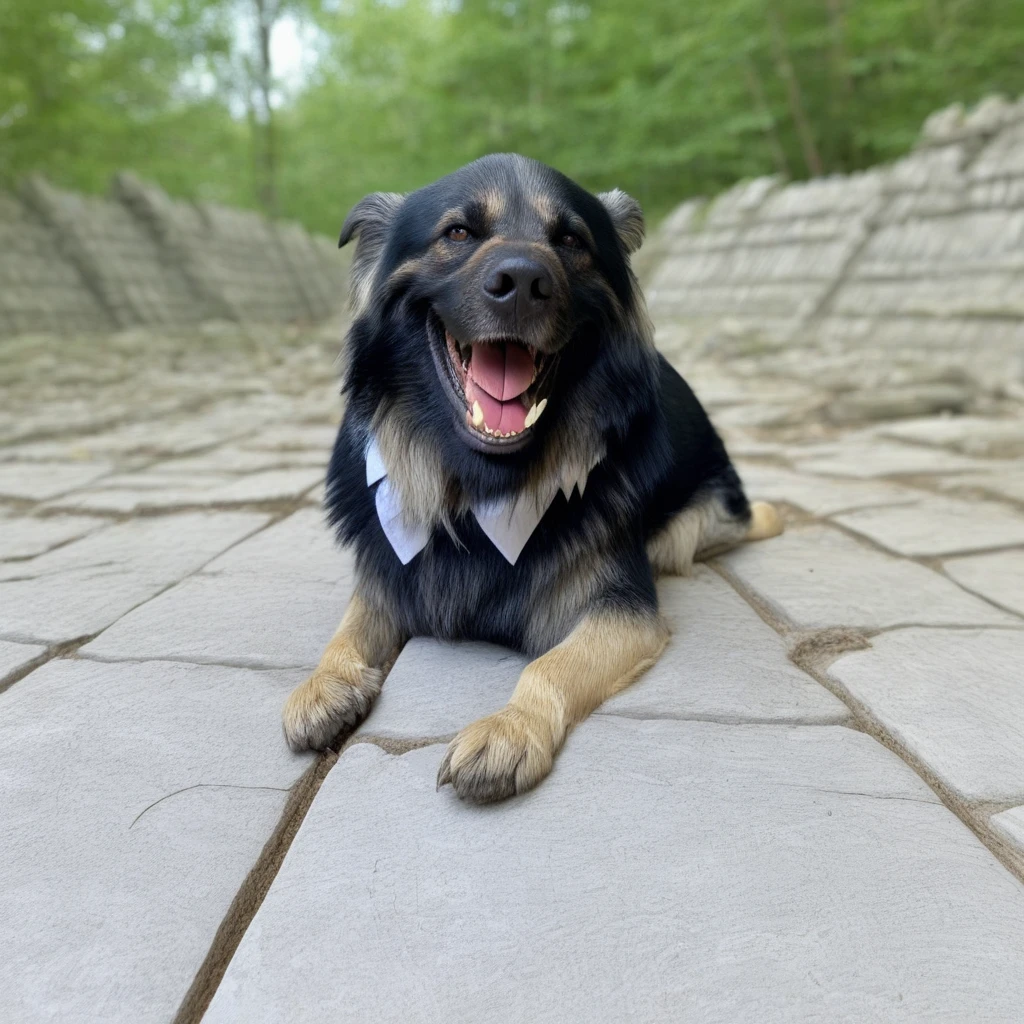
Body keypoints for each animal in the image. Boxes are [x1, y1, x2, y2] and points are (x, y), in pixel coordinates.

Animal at [284, 155, 778, 802]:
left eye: (571, 241)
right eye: (458, 233)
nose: (523, 282)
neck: (479, 489)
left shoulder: (622, 612)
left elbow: (550, 665)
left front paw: (508, 729)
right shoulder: (386, 572)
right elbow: (347, 628)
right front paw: (324, 684)